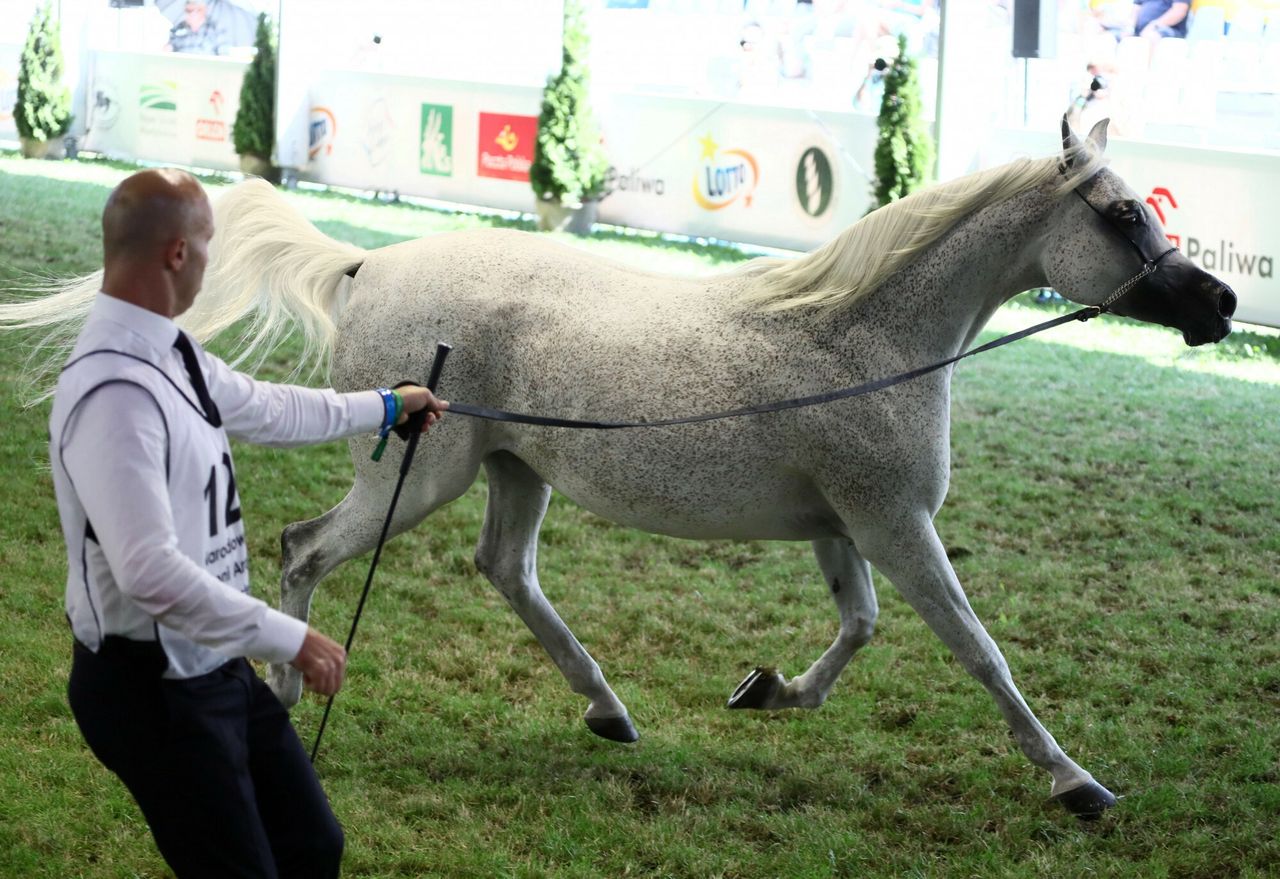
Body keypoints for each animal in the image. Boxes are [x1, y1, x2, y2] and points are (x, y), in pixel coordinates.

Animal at [7, 118, 1228, 818]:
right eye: (1127, 213)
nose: (1218, 306)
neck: (863, 337)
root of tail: (366, 265)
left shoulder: (846, 529)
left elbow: (858, 630)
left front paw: (765, 691)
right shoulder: (893, 523)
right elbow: (977, 651)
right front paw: (1076, 781)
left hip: (514, 469)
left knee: (506, 572)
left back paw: (609, 711)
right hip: (425, 472)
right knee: (310, 551)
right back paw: (289, 694)